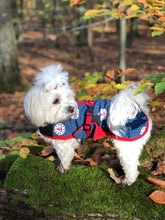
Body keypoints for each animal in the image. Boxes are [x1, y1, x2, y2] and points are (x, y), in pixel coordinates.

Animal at [23, 64, 152, 185]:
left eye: (67, 97)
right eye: (55, 101)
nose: (71, 108)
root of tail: (139, 109)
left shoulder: (64, 143)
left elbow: (65, 157)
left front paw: (63, 168)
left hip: (126, 144)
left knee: (131, 166)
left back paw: (128, 180)